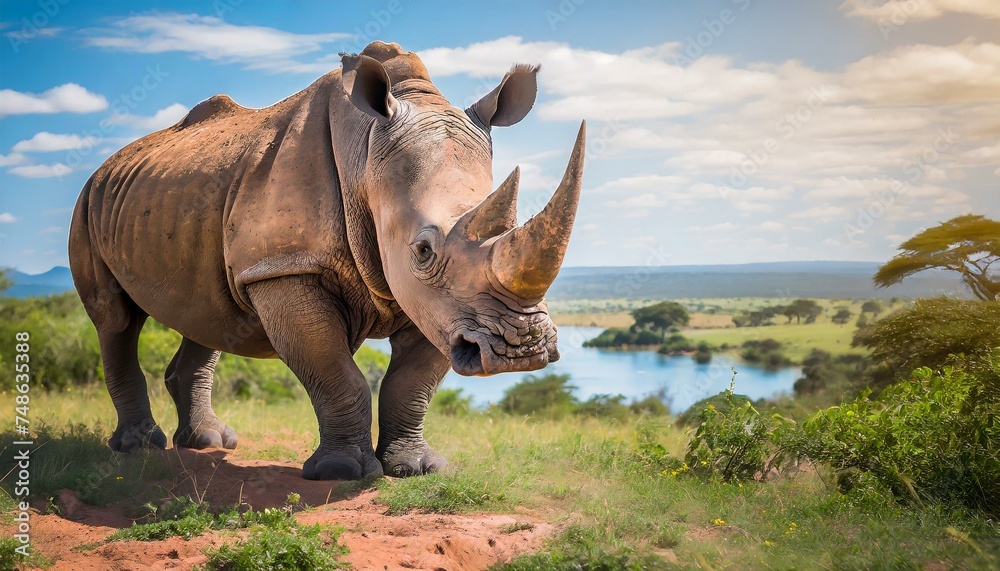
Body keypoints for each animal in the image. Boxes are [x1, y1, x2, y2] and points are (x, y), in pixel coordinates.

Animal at [69, 42, 585, 480]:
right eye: (422, 251)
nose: (521, 349)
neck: (367, 157)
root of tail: (109, 164)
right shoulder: (287, 266)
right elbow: (336, 372)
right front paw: (342, 472)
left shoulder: (440, 305)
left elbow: (412, 382)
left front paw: (416, 469)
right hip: (89, 200)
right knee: (116, 320)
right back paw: (139, 447)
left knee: (209, 312)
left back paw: (210, 443)